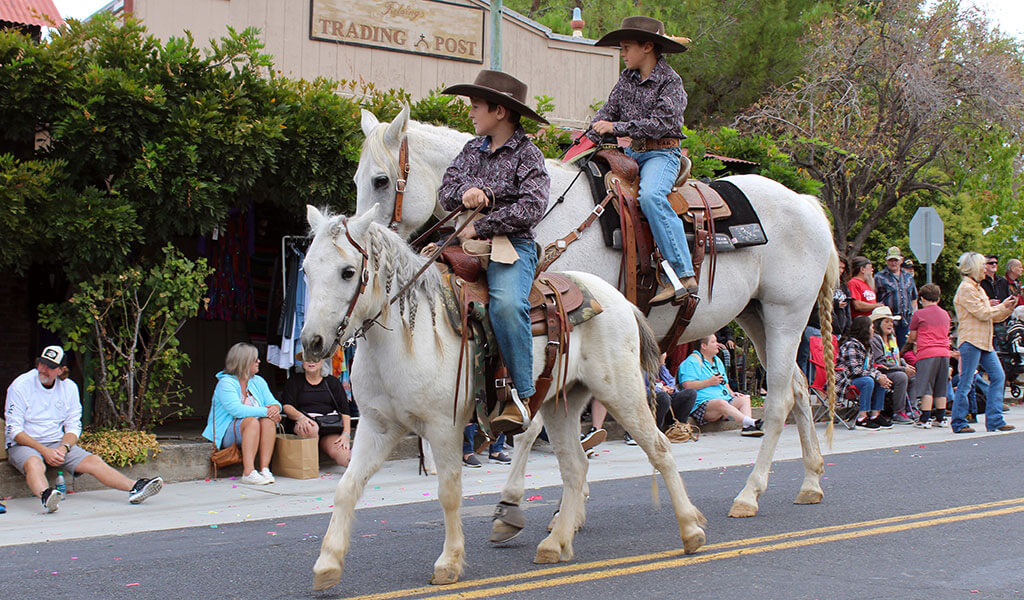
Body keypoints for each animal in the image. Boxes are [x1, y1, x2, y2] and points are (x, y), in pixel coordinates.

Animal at [299, 202, 708, 585]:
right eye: (305, 270)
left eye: (347, 271)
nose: (311, 343)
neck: (407, 336)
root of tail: (622, 301)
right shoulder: (377, 427)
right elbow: (347, 488)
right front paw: (327, 564)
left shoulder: (444, 428)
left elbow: (449, 493)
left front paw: (448, 562)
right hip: (562, 404)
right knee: (575, 467)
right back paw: (555, 543)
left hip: (621, 391)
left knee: (658, 449)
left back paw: (691, 531)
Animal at [356, 103, 835, 518]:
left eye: (381, 180)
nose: (362, 239)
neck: (543, 216)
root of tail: (805, 203)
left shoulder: (548, 333)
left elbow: (530, 422)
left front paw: (515, 502)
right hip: (757, 315)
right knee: (797, 388)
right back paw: (811, 483)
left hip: (786, 314)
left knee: (779, 399)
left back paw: (749, 495)